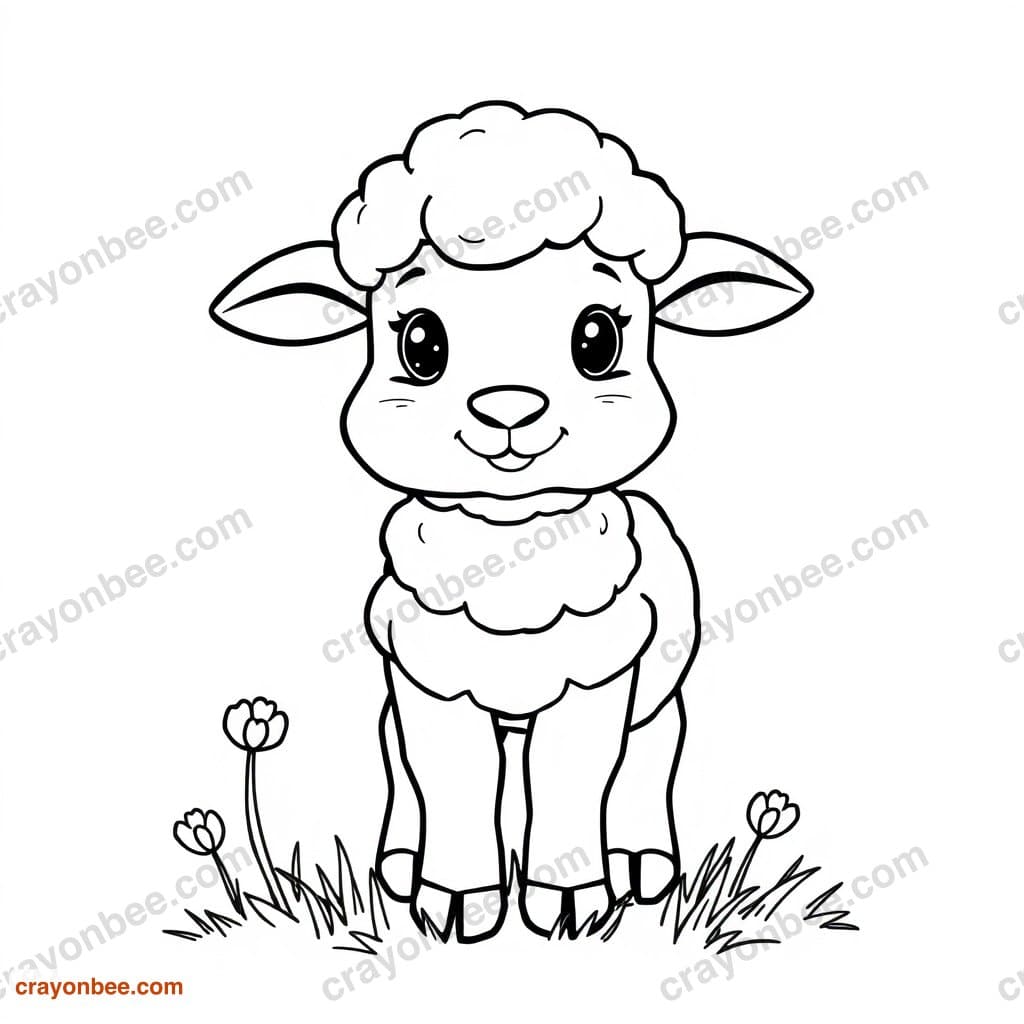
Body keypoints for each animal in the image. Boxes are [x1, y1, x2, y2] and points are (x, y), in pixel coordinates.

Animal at [210, 101, 812, 942]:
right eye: (420, 342)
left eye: (597, 338)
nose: (508, 410)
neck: (512, 567)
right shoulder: (429, 682)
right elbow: (448, 777)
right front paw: (456, 899)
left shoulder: (598, 679)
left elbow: (576, 778)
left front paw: (569, 900)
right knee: (401, 760)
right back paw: (400, 862)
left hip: (656, 690)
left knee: (650, 750)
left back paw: (639, 861)